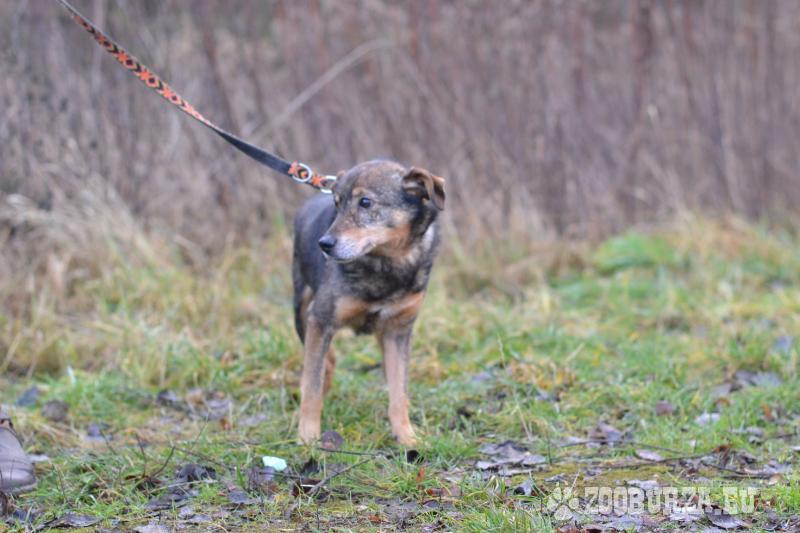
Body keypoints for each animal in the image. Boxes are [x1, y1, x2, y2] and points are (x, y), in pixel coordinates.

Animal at [292, 159, 445, 446]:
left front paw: (407, 437)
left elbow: (398, 391)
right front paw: (308, 437)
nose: (324, 244)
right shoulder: (320, 318)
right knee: (320, 359)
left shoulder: (398, 330)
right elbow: (312, 386)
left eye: (365, 202)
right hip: (301, 311)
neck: (387, 263)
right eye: (337, 204)